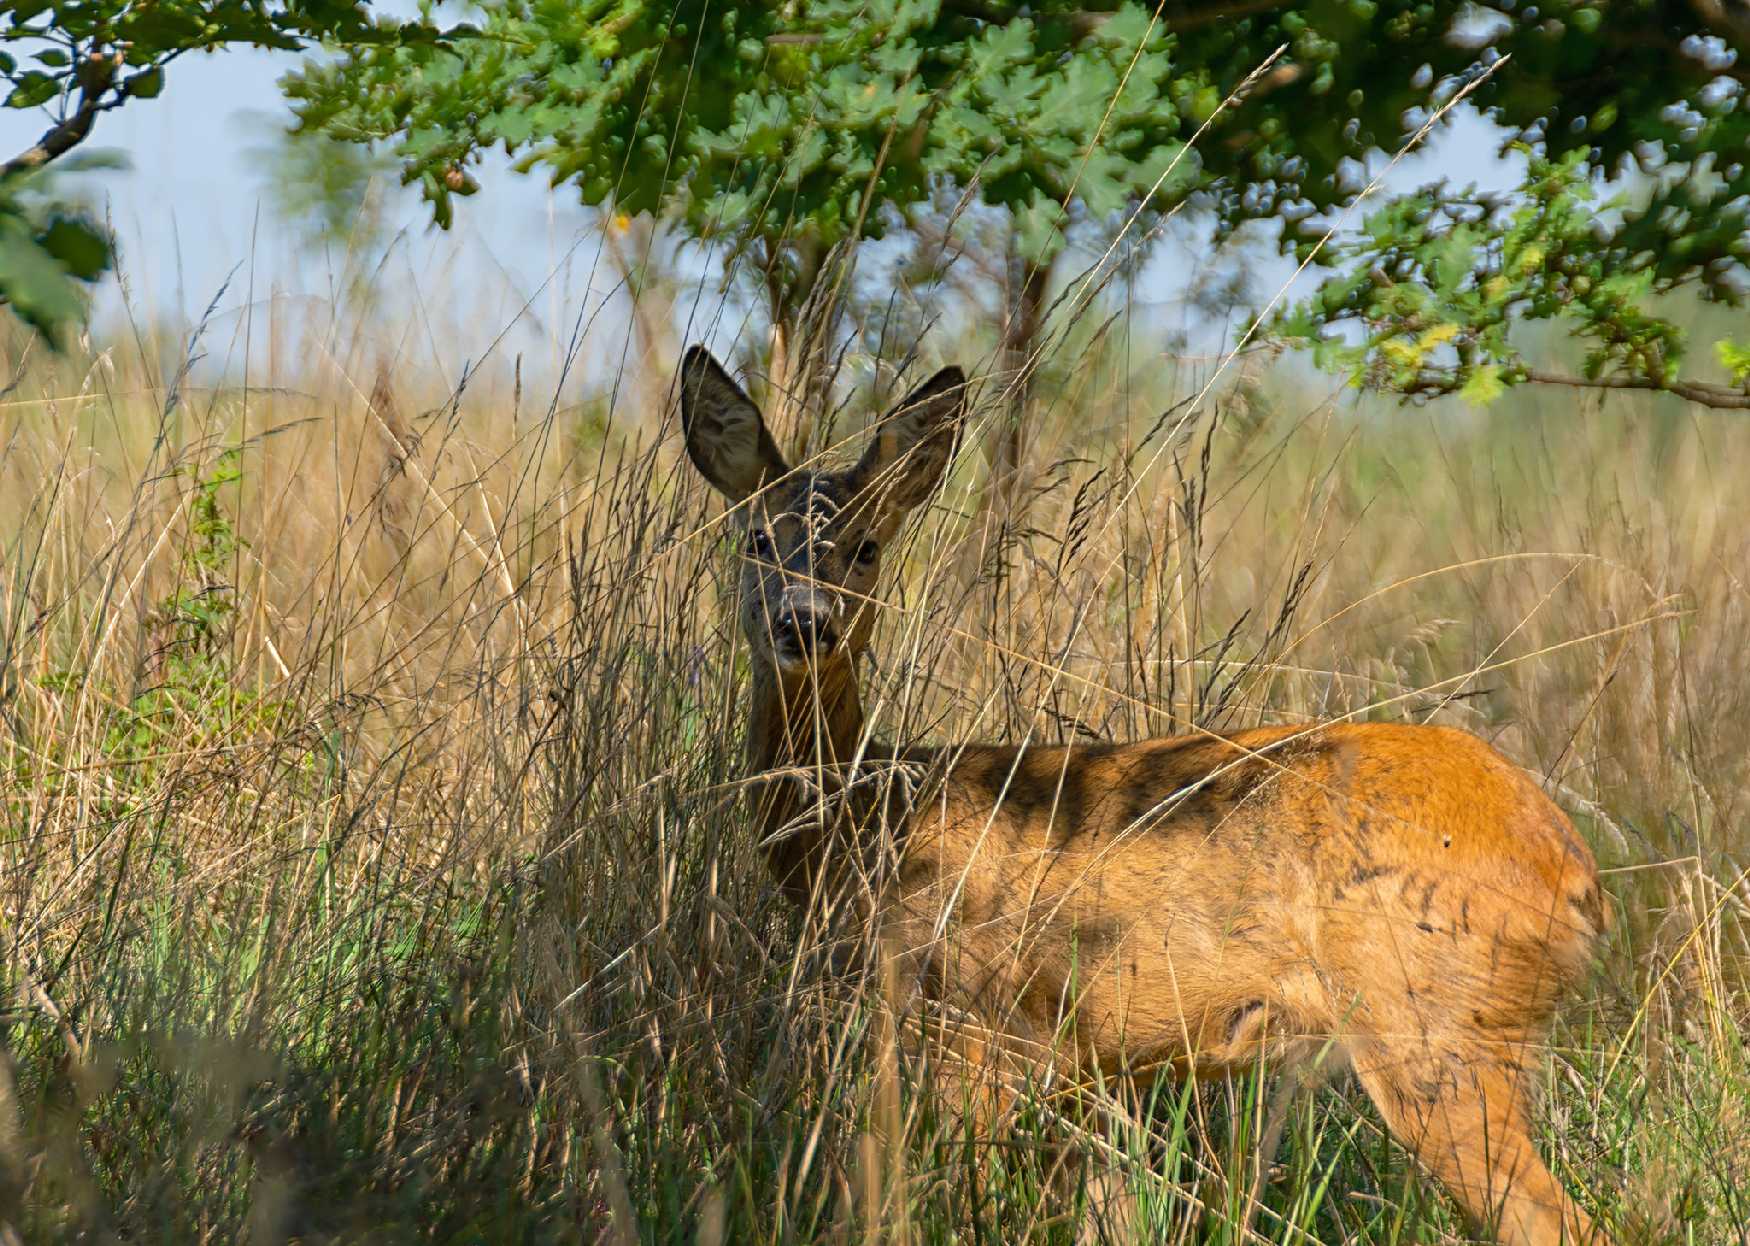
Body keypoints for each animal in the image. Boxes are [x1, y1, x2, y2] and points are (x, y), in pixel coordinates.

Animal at [679, 343, 1610, 1246]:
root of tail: (1571, 865)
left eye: (869, 546)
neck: (870, 819)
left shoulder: (974, 1027)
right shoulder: (1088, 1066)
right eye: (755, 537)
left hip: (1432, 1028)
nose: (804, 621)